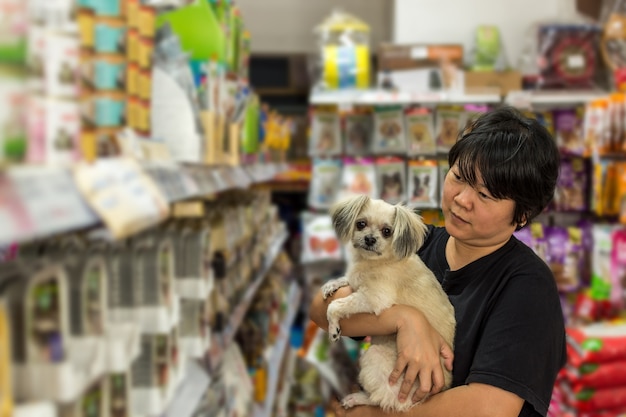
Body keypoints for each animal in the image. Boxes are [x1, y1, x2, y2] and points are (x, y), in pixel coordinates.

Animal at [322, 194, 454, 410]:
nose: (370, 239)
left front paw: (333, 328)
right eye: (361, 224)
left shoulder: (373, 298)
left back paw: (357, 398)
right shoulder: (357, 282)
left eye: (387, 231)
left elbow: (335, 306)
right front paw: (331, 285)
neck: (373, 261)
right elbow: (347, 280)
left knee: (380, 398)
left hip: (375, 358)